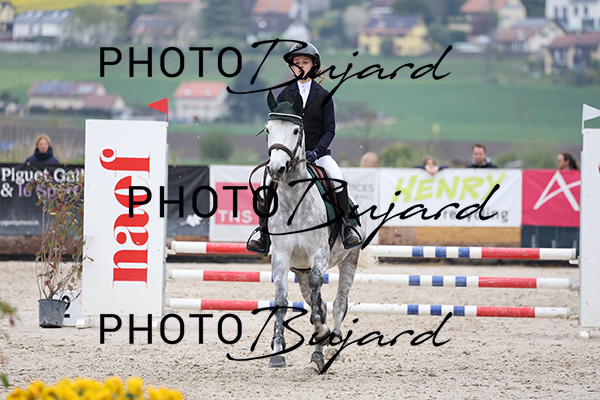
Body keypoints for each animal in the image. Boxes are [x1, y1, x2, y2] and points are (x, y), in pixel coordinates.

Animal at [253, 91, 373, 373]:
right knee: (317, 301)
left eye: (296, 130)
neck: (294, 202)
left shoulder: (319, 254)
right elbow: (282, 300)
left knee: (339, 302)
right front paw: (277, 352)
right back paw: (318, 351)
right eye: (268, 129)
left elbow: (321, 298)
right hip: (300, 270)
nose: (276, 169)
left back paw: (333, 341)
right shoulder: (282, 257)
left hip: (349, 260)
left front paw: (323, 333)